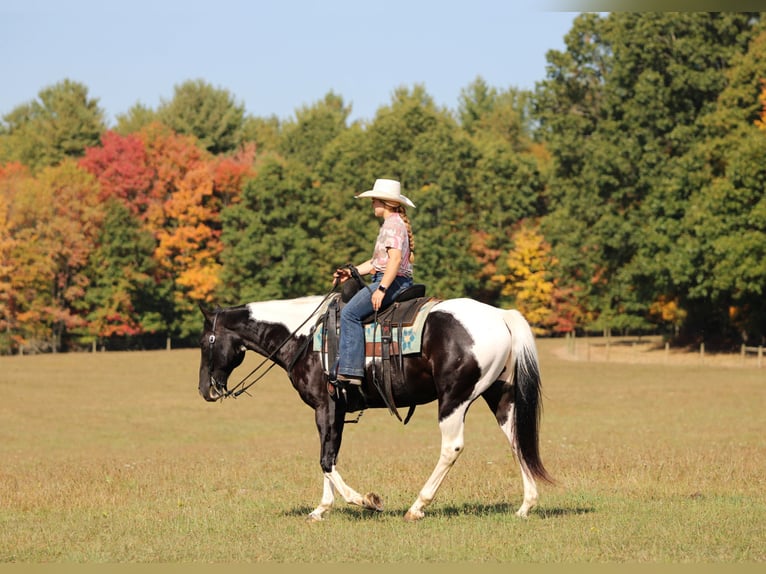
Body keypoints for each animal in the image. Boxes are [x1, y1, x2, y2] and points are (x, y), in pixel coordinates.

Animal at [197, 291, 553, 522]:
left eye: (205, 342)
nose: (205, 390)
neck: (305, 338)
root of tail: (500, 315)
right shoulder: (336, 410)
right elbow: (329, 454)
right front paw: (321, 509)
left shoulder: (325, 406)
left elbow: (326, 460)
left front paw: (366, 500)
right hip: (499, 394)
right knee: (517, 441)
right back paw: (525, 506)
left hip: (454, 398)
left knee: (451, 448)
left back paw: (417, 507)